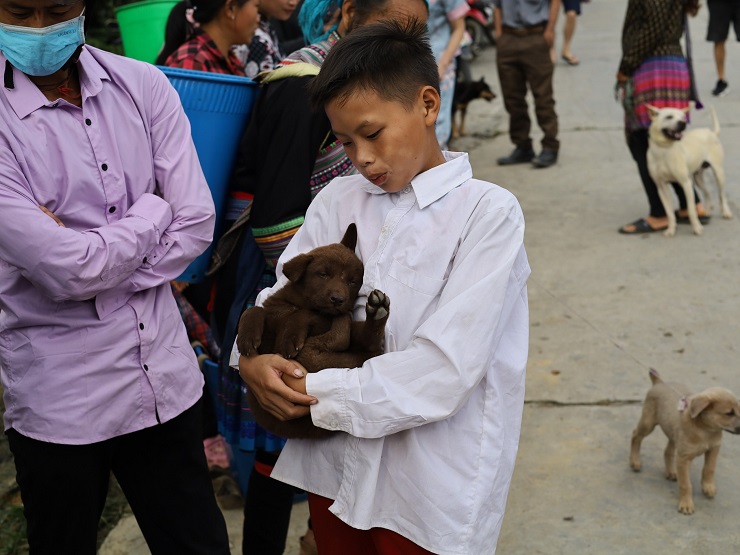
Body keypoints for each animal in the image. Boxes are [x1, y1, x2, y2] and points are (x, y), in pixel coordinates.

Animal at [237, 225, 390, 438]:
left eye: (352, 282)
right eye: (323, 274)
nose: (338, 300)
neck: (299, 302)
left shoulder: (319, 317)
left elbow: (302, 314)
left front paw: (290, 337)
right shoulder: (272, 320)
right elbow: (255, 310)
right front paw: (246, 338)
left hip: (316, 352)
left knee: (349, 338)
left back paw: (374, 313)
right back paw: (376, 312)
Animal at [628, 370, 740, 516]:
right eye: (729, 413)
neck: (704, 430)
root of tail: (659, 382)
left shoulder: (714, 448)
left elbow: (709, 468)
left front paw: (708, 486)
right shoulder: (683, 458)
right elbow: (686, 484)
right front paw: (686, 503)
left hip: (673, 433)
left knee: (668, 451)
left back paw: (671, 471)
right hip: (648, 424)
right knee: (635, 436)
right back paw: (635, 461)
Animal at [644, 105, 732, 237]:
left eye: (683, 117)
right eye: (669, 116)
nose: (683, 123)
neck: (663, 150)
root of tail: (711, 133)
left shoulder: (686, 184)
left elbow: (691, 210)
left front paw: (697, 228)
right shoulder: (661, 187)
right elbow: (669, 213)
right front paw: (671, 229)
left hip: (718, 173)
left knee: (722, 194)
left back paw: (725, 211)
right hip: (697, 178)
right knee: (707, 192)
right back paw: (707, 209)